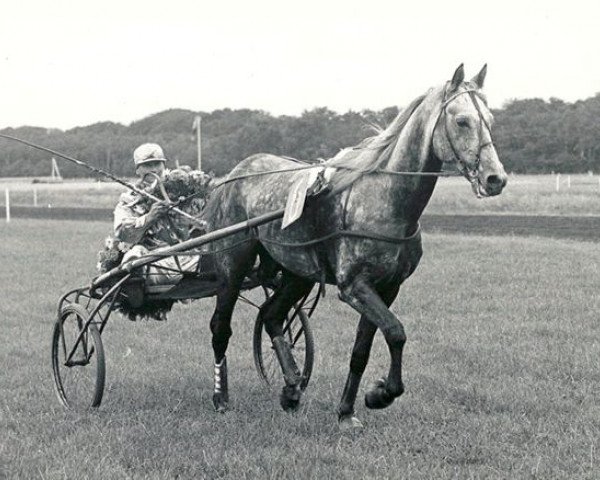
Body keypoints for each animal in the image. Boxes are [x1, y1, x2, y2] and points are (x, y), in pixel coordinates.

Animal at [200, 63, 506, 428]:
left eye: (490, 119)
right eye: (461, 121)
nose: (496, 178)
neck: (384, 198)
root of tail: (234, 174)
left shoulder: (387, 287)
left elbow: (362, 349)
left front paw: (347, 410)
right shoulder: (355, 285)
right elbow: (396, 331)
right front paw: (380, 394)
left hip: (297, 272)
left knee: (272, 316)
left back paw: (291, 389)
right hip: (233, 264)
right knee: (220, 327)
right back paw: (220, 397)